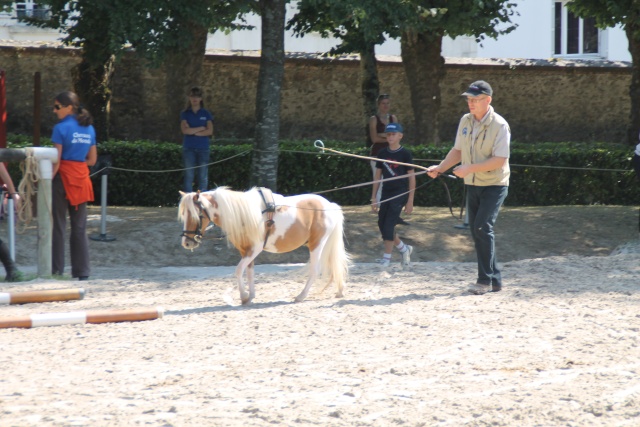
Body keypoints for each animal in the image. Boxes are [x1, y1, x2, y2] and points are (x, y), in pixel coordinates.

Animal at [178, 187, 350, 304]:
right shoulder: (246, 251)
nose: (186, 242)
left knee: (315, 270)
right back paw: (340, 291)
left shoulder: (255, 249)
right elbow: (249, 272)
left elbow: (238, 270)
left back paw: (301, 296)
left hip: (316, 244)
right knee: (333, 263)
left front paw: (244, 296)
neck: (246, 214)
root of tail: (329, 204)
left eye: (196, 214)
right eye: (184, 214)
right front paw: (250, 295)